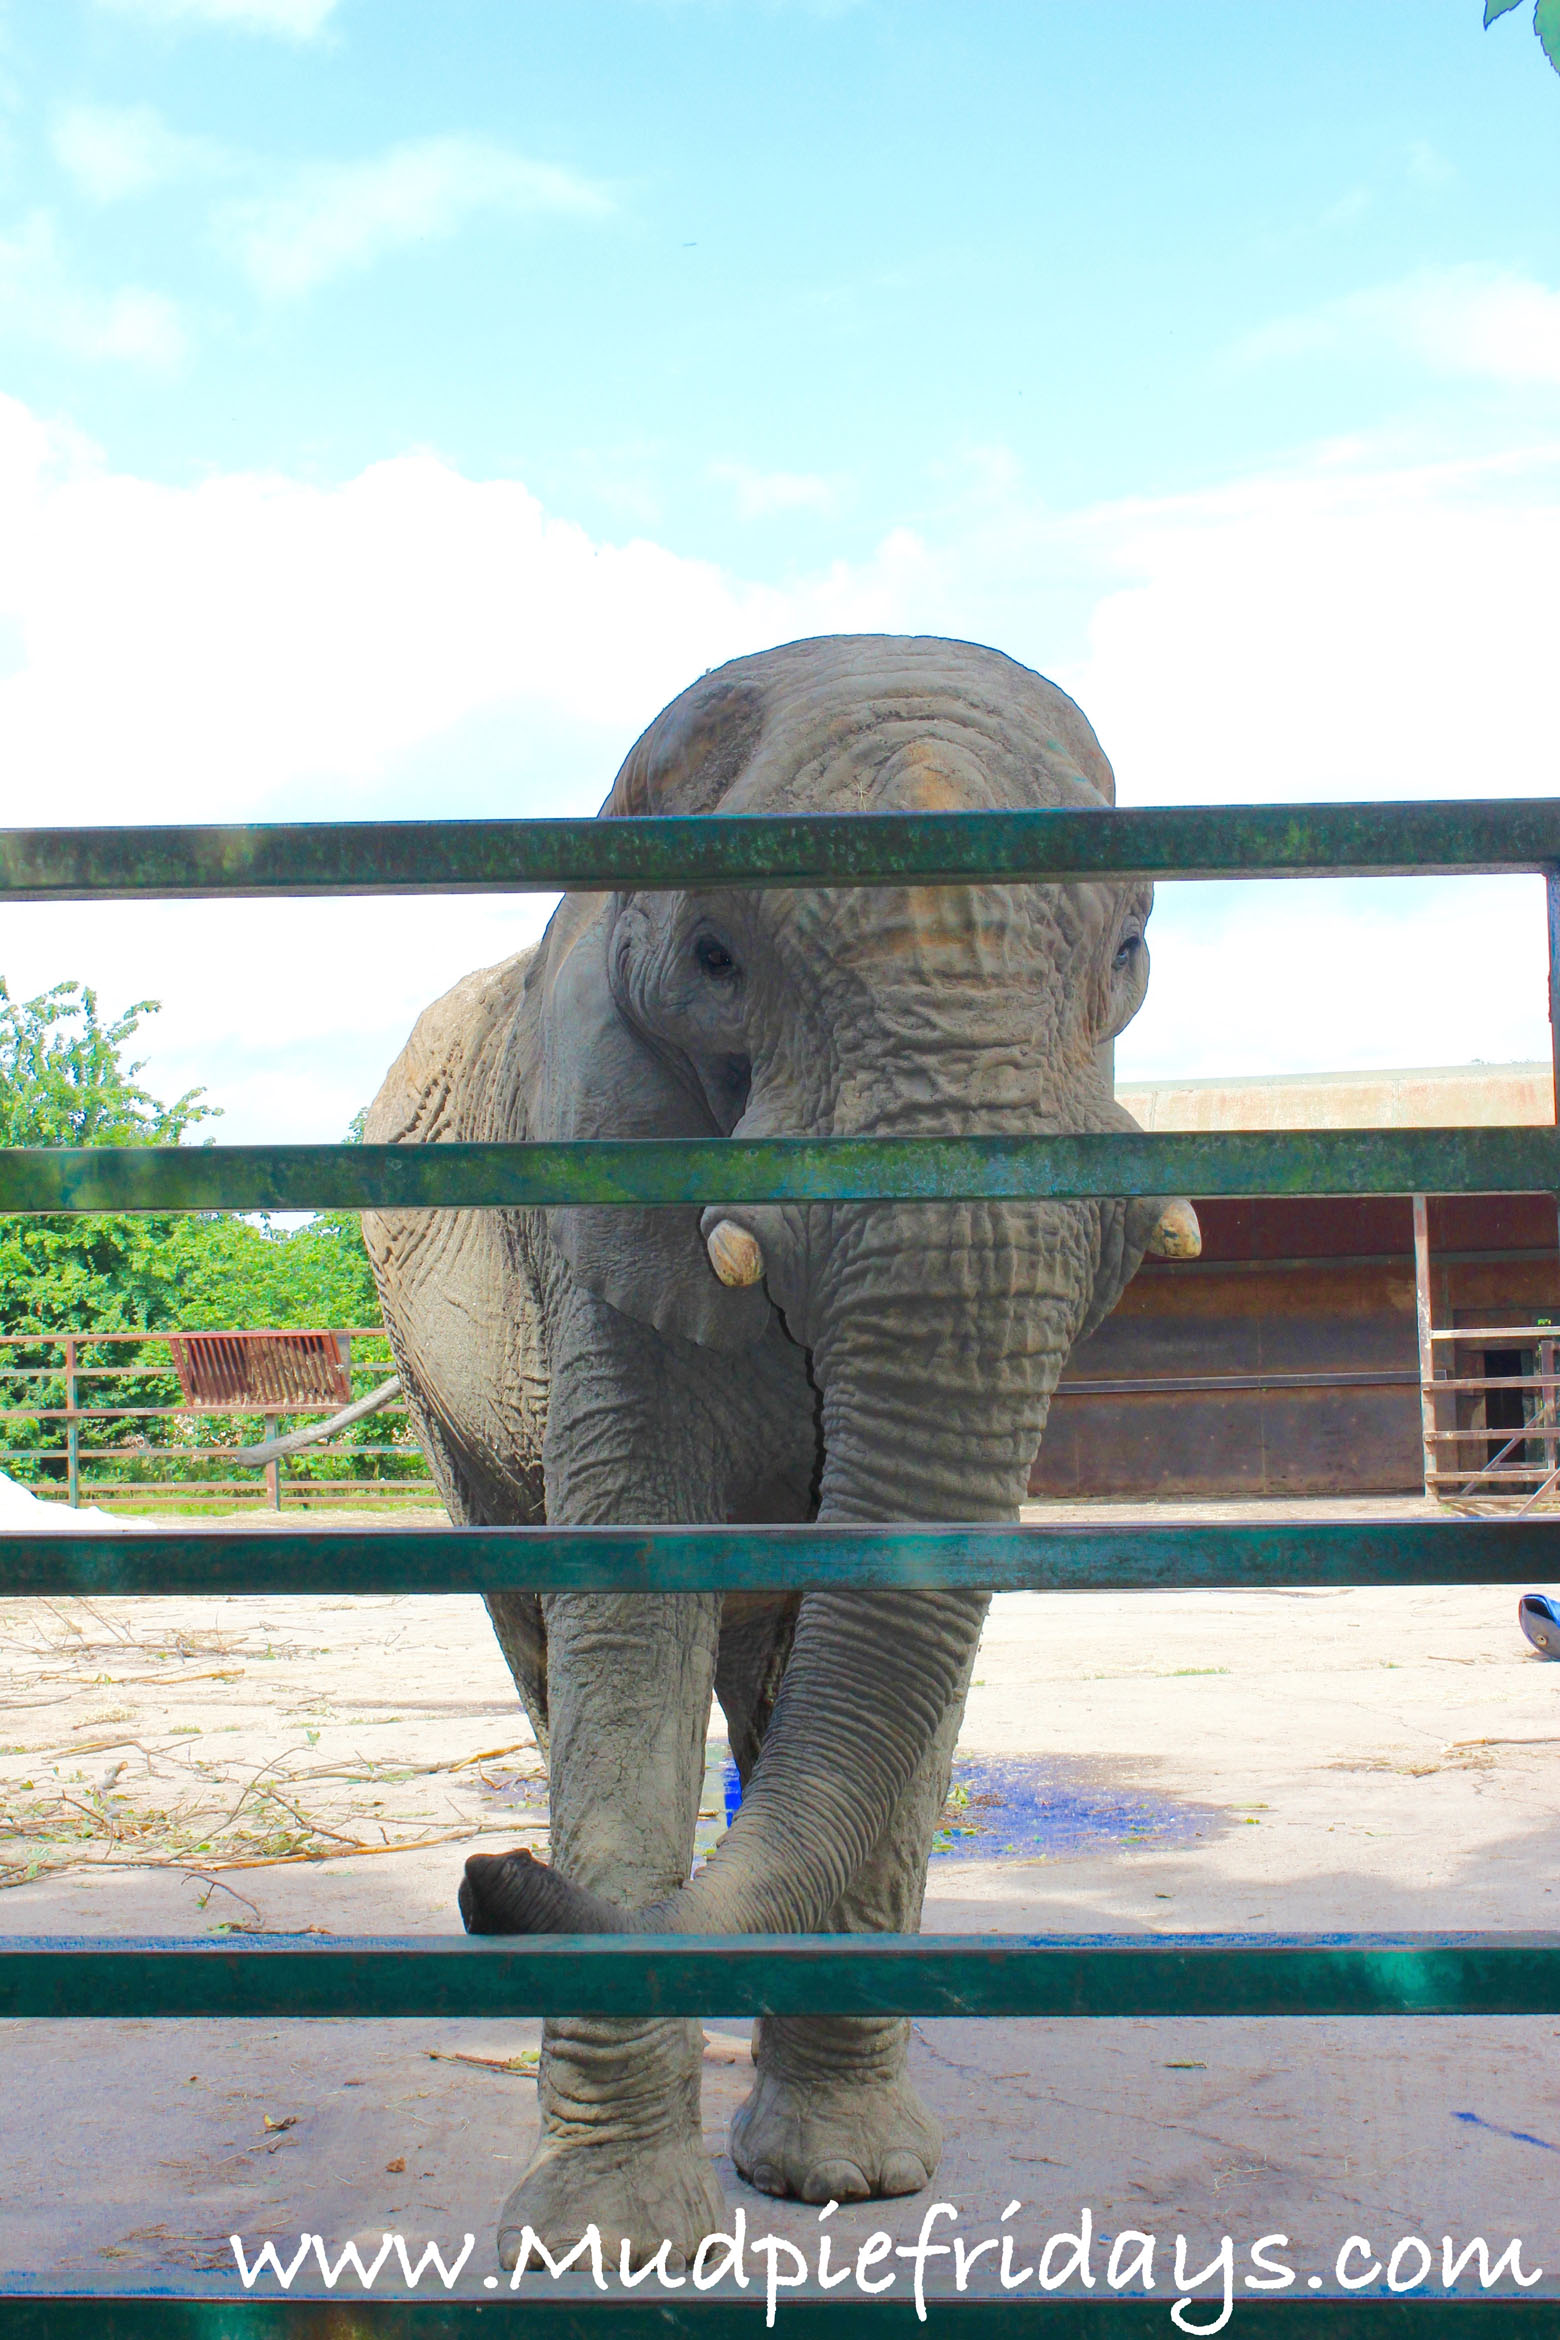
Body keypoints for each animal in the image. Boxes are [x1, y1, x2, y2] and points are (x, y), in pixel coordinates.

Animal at [361, 632, 1195, 2270]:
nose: (488, 1885)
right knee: (542, 1634)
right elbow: (634, 1618)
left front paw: (850, 2184)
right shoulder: (592, 1198)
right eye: (715, 961)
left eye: (1131, 950)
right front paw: (612, 2245)